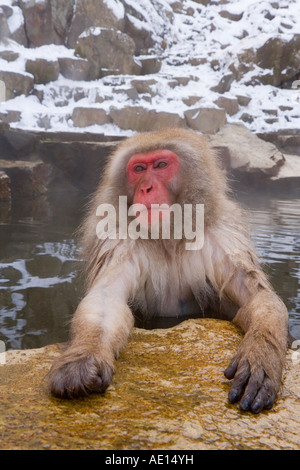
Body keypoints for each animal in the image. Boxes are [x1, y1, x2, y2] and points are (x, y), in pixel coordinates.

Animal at [48, 126, 288, 414]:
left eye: (161, 165)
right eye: (139, 169)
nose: (146, 188)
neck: (170, 236)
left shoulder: (225, 241)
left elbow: (258, 298)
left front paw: (261, 355)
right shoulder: (117, 242)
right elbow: (106, 298)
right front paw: (83, 357)